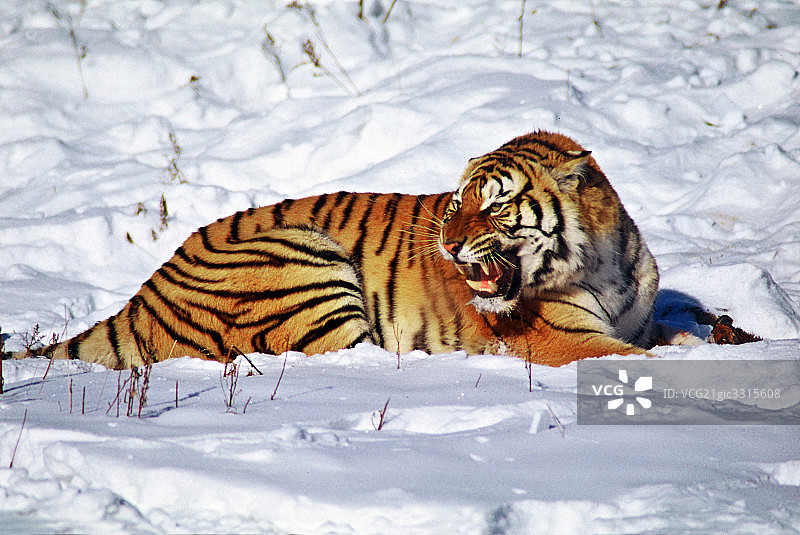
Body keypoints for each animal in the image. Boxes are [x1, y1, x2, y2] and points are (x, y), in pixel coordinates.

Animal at [12, 131, 659, 369]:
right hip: (306, 258)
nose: (448, 244)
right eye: (457, 205)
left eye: (495, 205)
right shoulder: (563, 340)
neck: (605, 262)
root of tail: (143, 294)